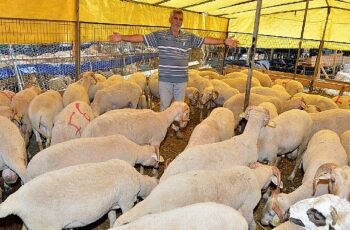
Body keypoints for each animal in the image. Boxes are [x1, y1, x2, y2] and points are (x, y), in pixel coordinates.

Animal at [0, 159, 157, 229]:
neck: (139, 180)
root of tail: (16, 200)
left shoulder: (112, 204)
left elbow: (112, 217)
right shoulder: (126, 201)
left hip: (31, 224)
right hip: (45, 226)